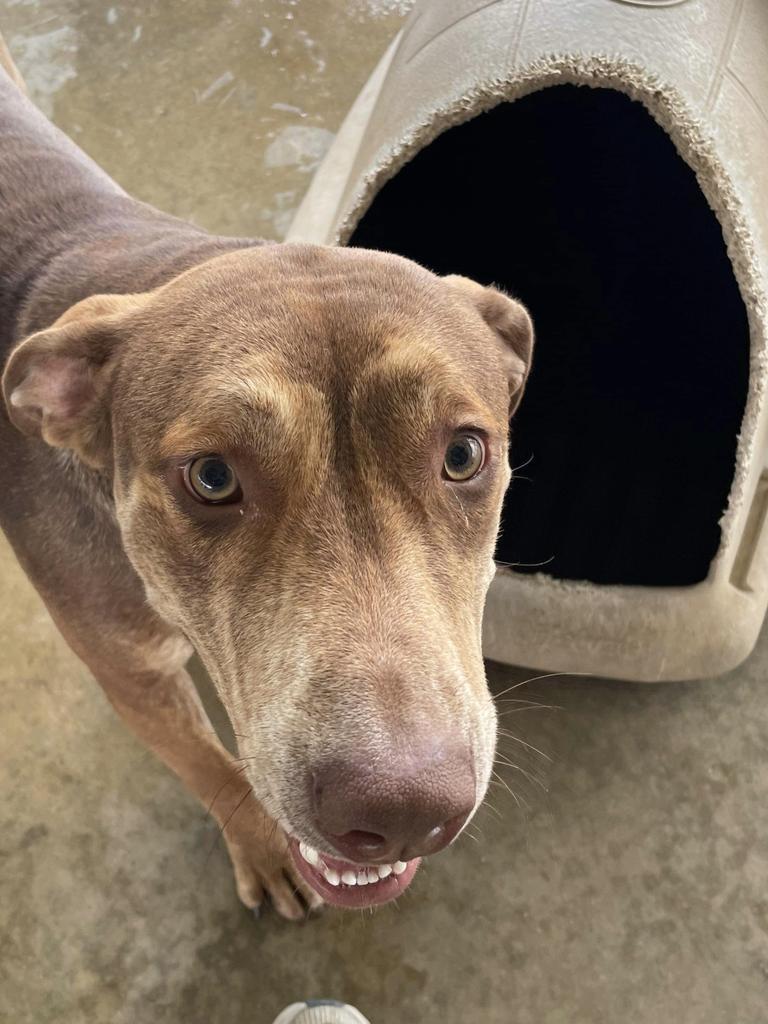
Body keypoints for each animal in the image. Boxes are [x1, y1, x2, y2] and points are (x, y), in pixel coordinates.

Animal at [0, 44, 532, 921]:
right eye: (212, 477)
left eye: (462, 455)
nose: (402, 811)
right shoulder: (131, 673)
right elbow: (212, 769)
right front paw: (261, 847)